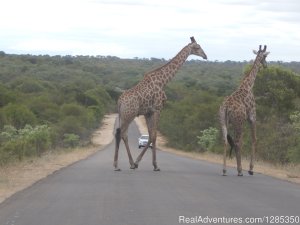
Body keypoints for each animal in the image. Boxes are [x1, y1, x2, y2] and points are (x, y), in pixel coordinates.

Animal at [113, 36, 207, 171]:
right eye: (197, 47)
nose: (205, 56)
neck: (163, 81)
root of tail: (120, 101)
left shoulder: (148, 112)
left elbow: (150, 135)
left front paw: (142, 163)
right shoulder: (158, 109)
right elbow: (154, 136)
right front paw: (153, 165)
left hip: (123, 115)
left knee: (118, 133)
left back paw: (119, 164)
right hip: (129, 115)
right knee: (123, 134)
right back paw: (126, 164)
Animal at [219, 44, 270, 177]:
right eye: (265, 56)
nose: (266, 65)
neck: (248, 85)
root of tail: (226, 107)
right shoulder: (252, 116)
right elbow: (254, 139)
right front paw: (251, 169)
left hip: (223, 121)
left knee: (225, 140)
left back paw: (224, 170)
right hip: (239, 122)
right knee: (237, 142)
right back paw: (240, 170)